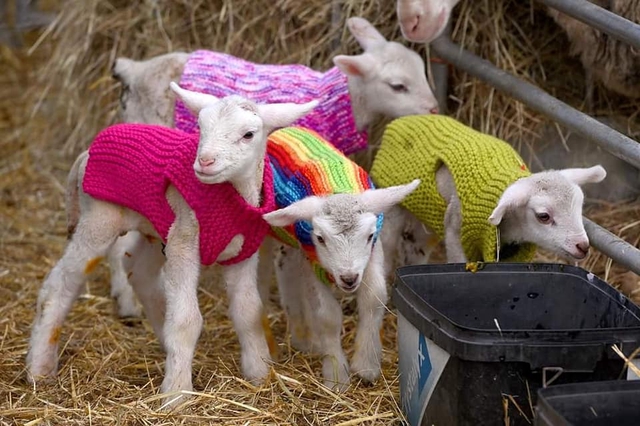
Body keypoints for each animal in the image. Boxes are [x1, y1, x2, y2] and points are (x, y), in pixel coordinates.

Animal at [26, 83, 319, 407]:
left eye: (248, 135)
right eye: (200, 128)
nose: (205, 161)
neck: (229, 198)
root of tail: (87, 152)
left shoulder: (241, 253)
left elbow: (249, 311)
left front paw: (260, 374)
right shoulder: (184, 241)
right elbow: (186, 318)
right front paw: (177, 394)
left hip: (155, 226)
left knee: (139, 272)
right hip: (100, 218)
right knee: (59, 286)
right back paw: (40, 369)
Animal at [260, 126, 420, 390]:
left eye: (369, 235)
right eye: (320, 238)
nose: (348, 278)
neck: (336, 189)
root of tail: (287, 129)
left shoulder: (372, 254)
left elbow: (374, 299)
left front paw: (366, 365)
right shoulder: (313, 260)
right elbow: (327, 316)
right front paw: (336, 376)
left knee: (287, 267)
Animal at [370, 115, 607, 269]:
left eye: (579, 208)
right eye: (543, 216)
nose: (583, 246)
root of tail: (404, 119)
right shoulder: (456, 234)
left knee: (415, 246)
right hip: (395, 206)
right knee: (388, 245)